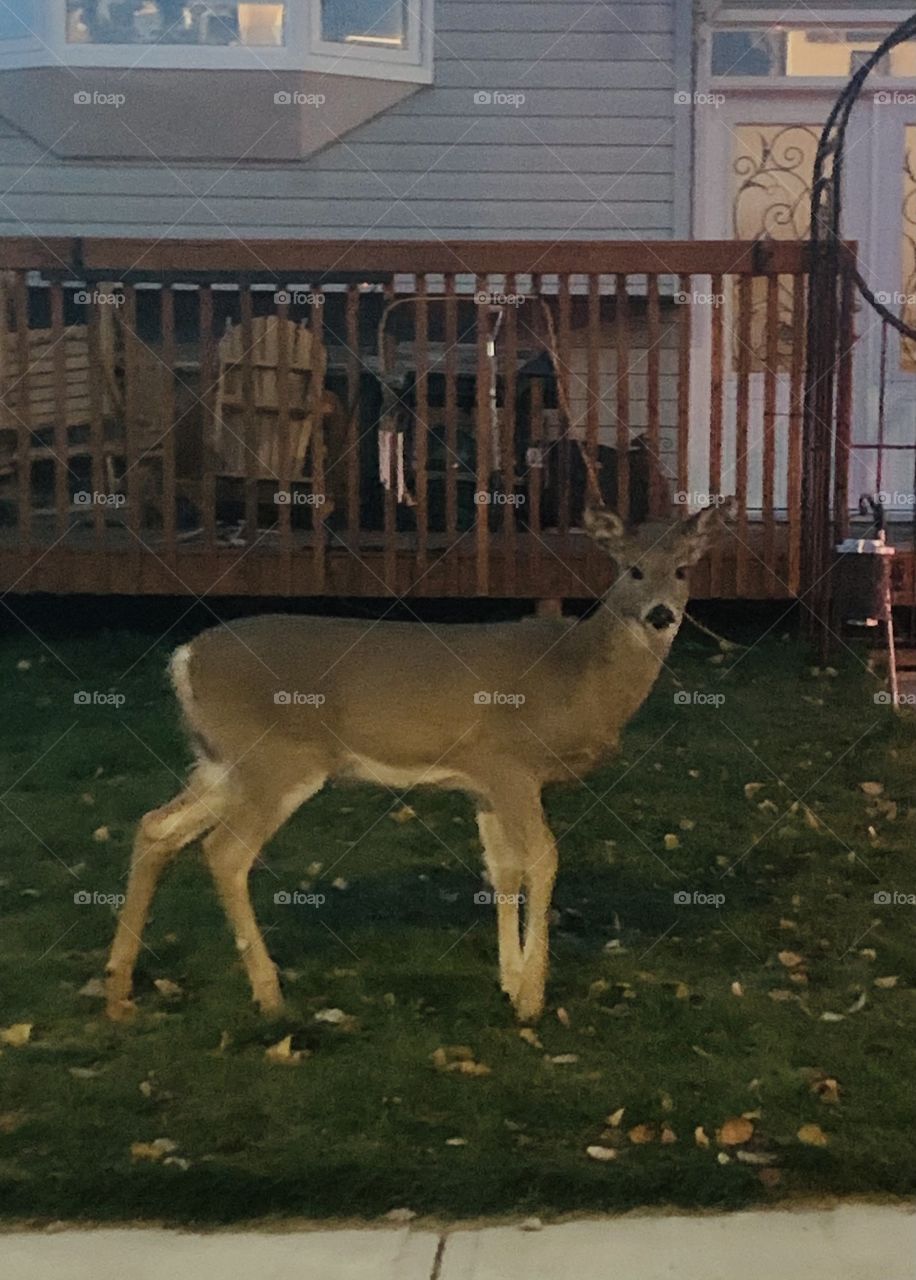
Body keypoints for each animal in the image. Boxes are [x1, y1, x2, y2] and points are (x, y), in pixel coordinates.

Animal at [105, 502, 733, 1024]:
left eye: (682, 571)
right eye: (632, 570)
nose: (660, 614)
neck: (580, 678)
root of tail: (185, 659)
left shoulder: (483, 783)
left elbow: (503, 869)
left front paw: (509, 980)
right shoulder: (508, 760)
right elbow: (544, 858)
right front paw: (532, 998)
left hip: (221, 763)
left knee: (156, 827)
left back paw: (119, 988)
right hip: (276, 759)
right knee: (225, 852)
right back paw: (269, 994)